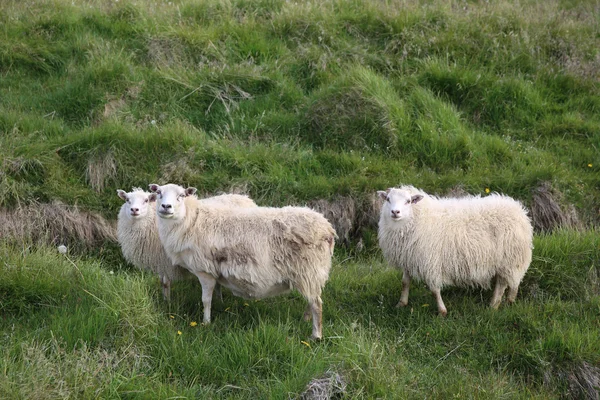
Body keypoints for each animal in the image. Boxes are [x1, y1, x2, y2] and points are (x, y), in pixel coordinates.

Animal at [116, 188, 256, 300]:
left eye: (146, 200)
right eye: (127, 200)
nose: (134, 210)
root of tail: (245, 198)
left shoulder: (167, 261)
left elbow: (166, 283)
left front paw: (167, 303)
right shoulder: (160, 261)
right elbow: (162, 282)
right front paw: (164, 300)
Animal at [149, 183, 338, 340]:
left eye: (181, 195)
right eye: (158, 193)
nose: (166, 207)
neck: (191, 221)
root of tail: (327, 228)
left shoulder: (204, 270)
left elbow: (205, 300)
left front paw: (206, 323)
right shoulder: (214, 269)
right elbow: (216, 293)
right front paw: (219, 305)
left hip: (309, 270)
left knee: (317, 304)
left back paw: (315, 335)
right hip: (311, 275)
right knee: (313, 298)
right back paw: (305, 319)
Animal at [378, 186, 532, 318]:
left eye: (408, 201)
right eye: (388, 199)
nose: (395, 212)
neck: (417, 218)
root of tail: (520, 211)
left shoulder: (430, 262)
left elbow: (434, 290)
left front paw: (442, 311)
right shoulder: (409, 258)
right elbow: (405, 282)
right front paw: (401, 304)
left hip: (510, 259)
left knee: (504, 284)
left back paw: (497, 305)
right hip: (509, 260)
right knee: (510, 283)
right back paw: (505, 302)